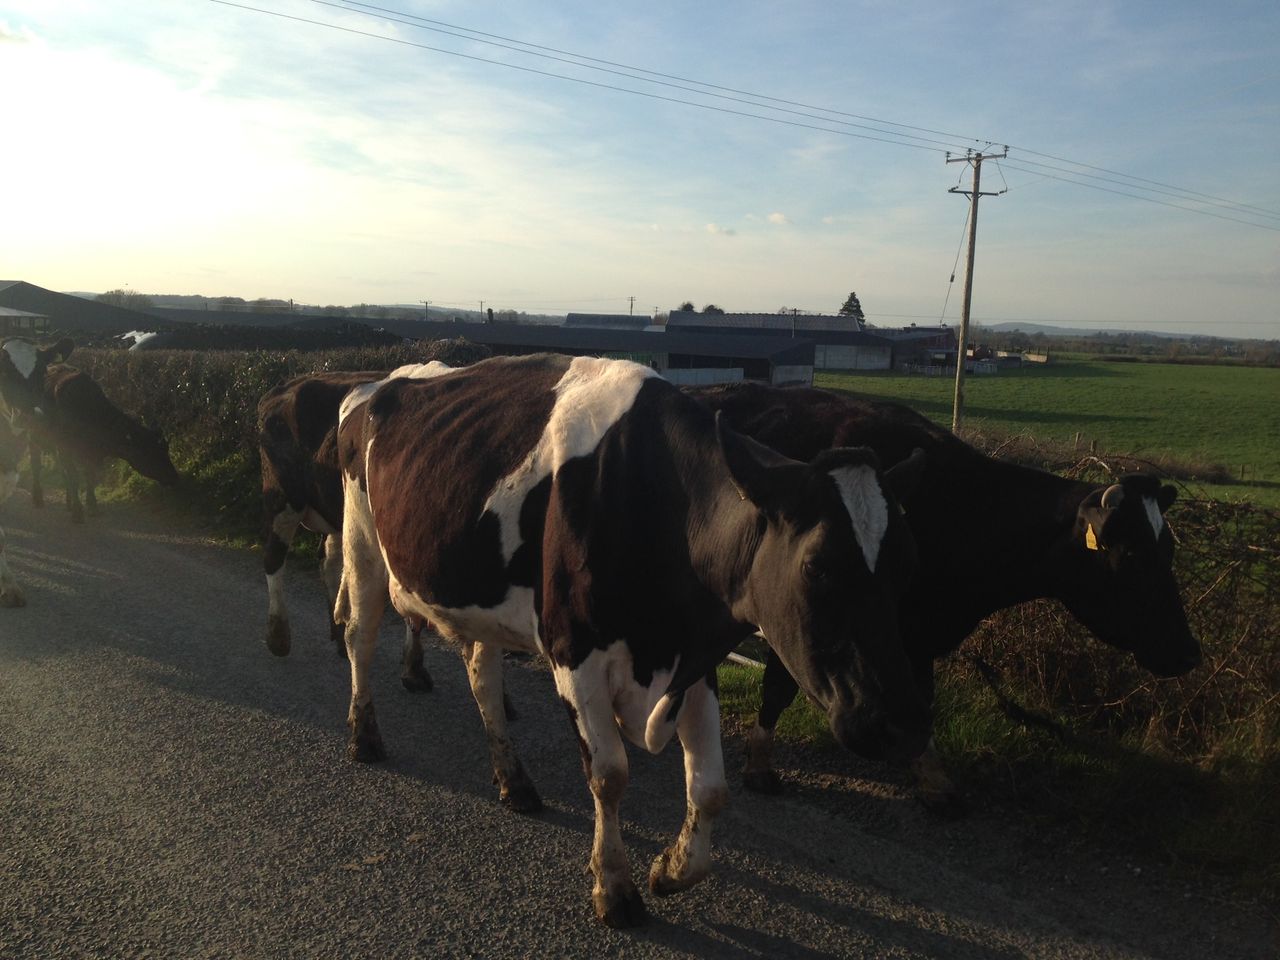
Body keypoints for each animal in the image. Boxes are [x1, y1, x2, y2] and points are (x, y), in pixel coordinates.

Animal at [29, 363, 180, 522]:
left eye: (166, 449)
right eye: (152, 452)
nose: (174, 476)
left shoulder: (90, 454)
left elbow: (90, 477)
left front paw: (91, 506)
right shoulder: (65, 447)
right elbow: (74, 477)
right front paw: (78, 512)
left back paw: (68, 502)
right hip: (34, 435)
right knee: (36, 464)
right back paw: (38, 497)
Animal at [257, 365, 446, 693]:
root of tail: (285, 385)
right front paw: (413, 667)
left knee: (328, 561)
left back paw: (338, 632)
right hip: (283, 495)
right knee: (274, 557)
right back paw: (279, 636)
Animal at [333, 353, 929, 926]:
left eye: (907, 565)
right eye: (816, 568)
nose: (896, 722)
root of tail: (381, 383)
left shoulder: (695, 659)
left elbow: (711, 788)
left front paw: (671, 869)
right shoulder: (575, 655)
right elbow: (610, 775)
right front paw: (614, 887)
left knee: (483, 678)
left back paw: (514, 781)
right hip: (362, 543)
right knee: (360, 638)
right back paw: (364, 735)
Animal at [690, 381, 1201, 811]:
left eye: (1169, 551)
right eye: (1130, 556)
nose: (1188, 651)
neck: (964, 508)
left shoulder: (915, 636)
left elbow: (924, 700)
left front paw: (934, 779)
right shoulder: (805, 616)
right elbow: (779, 689)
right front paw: (760, 765)